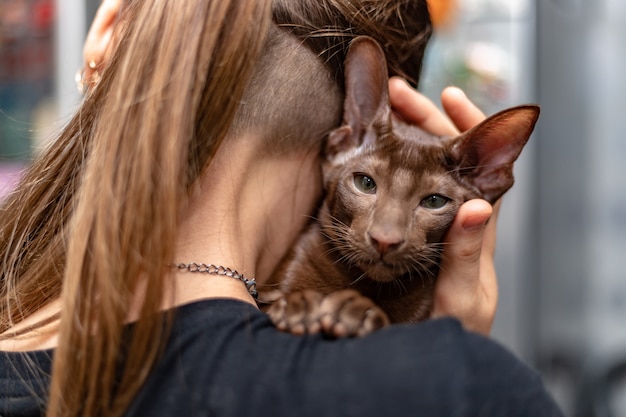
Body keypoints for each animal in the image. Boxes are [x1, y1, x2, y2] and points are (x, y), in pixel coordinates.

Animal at [260, 36, 540, 338]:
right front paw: (299, 306)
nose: (384, 240)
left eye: (434, 201)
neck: (363, 284)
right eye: (365, 183)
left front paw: (356, 312)